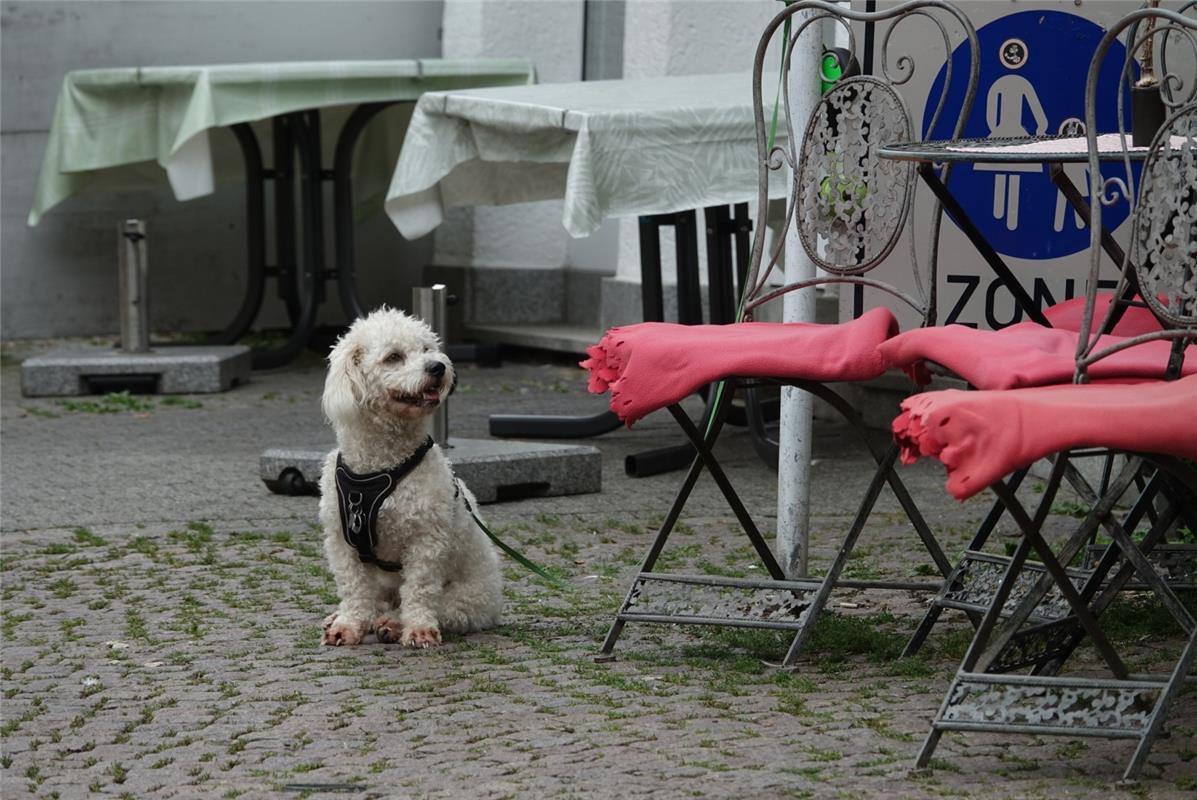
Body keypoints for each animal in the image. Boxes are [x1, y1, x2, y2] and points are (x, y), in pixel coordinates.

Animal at [318, 308, 500, 651]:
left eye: (428, 349)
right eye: (394, 357)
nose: (438, 367)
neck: (381, 468)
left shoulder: (426, 542)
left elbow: (419, 590)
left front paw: (418, 629)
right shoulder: (342, 543)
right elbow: (354, 589)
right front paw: (347, 624)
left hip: (466, 600)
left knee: (429, 606)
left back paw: (393, 623)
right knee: (377, 601)